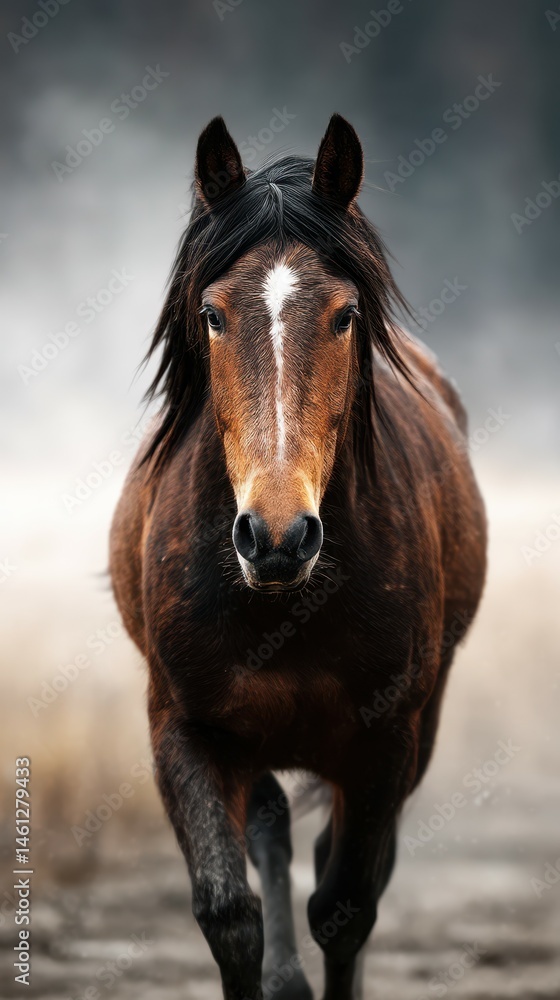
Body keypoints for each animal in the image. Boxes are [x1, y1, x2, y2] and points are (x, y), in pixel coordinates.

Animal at [110, 113, 487, 1000]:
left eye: (345, 314)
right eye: (212, 313)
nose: (277, 536)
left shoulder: (386, 744)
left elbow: (345, 907)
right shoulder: (184, 731)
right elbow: (228, 914)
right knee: (274, 834)